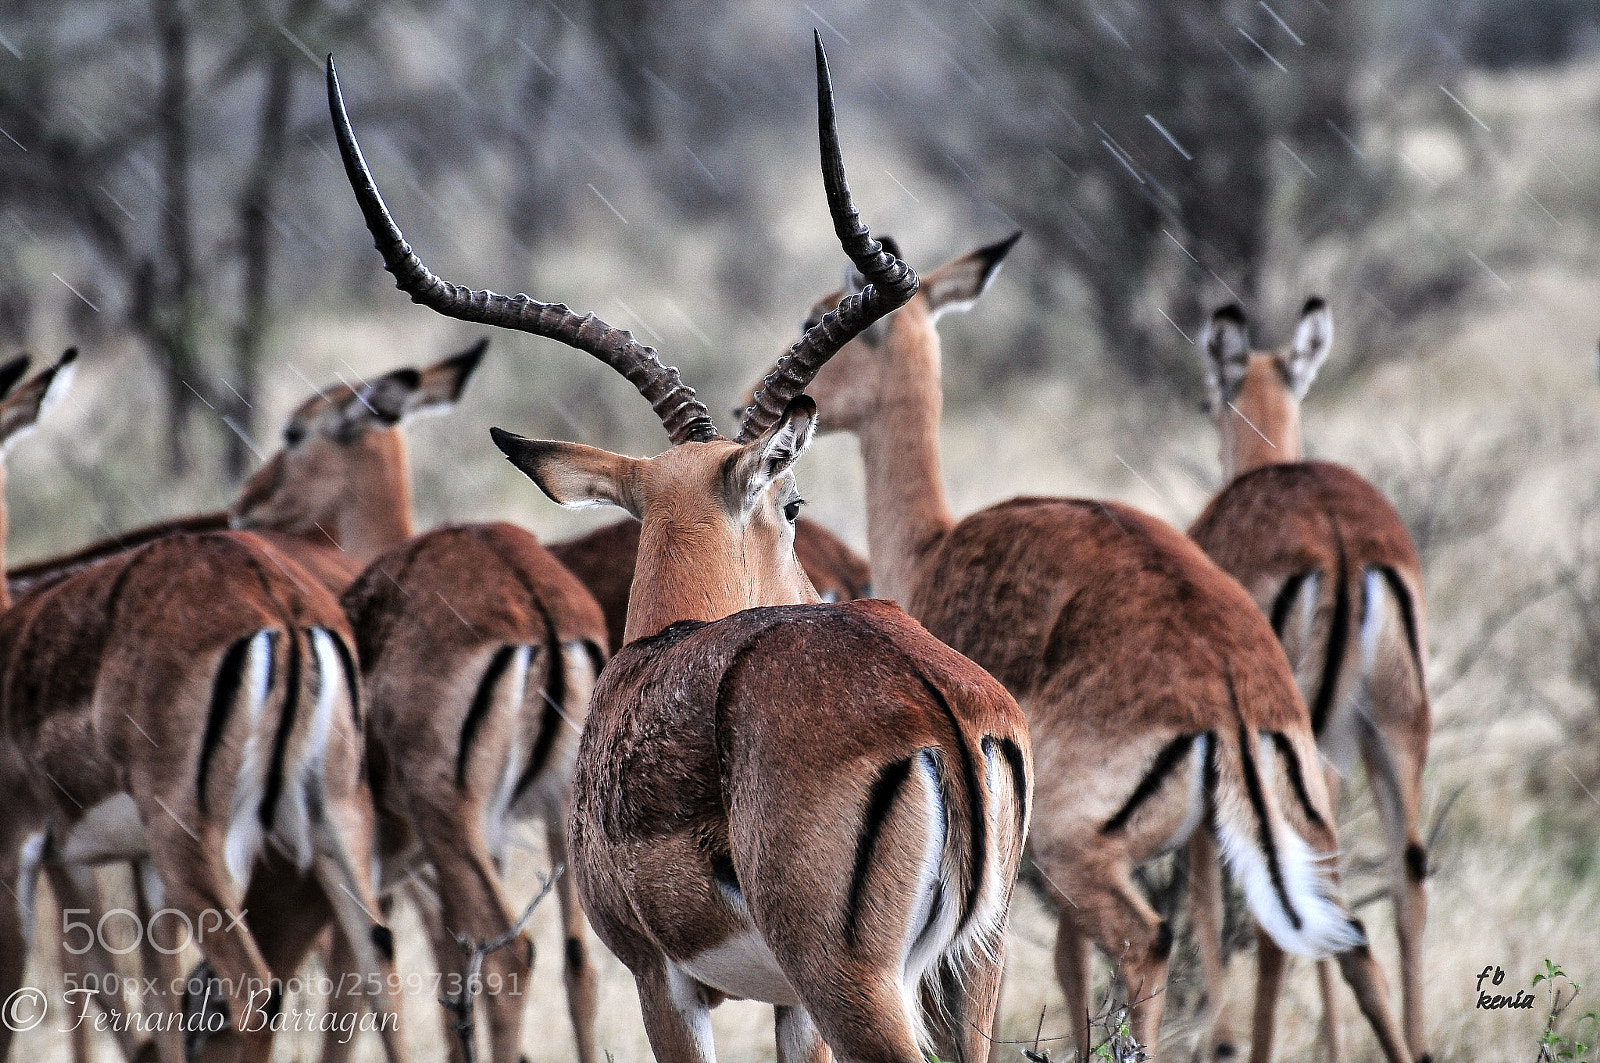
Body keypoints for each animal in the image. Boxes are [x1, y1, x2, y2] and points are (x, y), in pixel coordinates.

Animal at [0, 350, 405, 1062]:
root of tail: (280, 602)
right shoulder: (99, 862)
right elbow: (141, 999)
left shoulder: (22, 848)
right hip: (335, 821)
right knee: (377, 970)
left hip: (194, 847)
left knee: (250, 992)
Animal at [329, 34, 1033, 1063]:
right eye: (793, 505)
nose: (819, 589)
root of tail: (934, 700)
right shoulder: (784, 1007)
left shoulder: (661, 978)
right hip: (970, 967)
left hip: (857, 984)